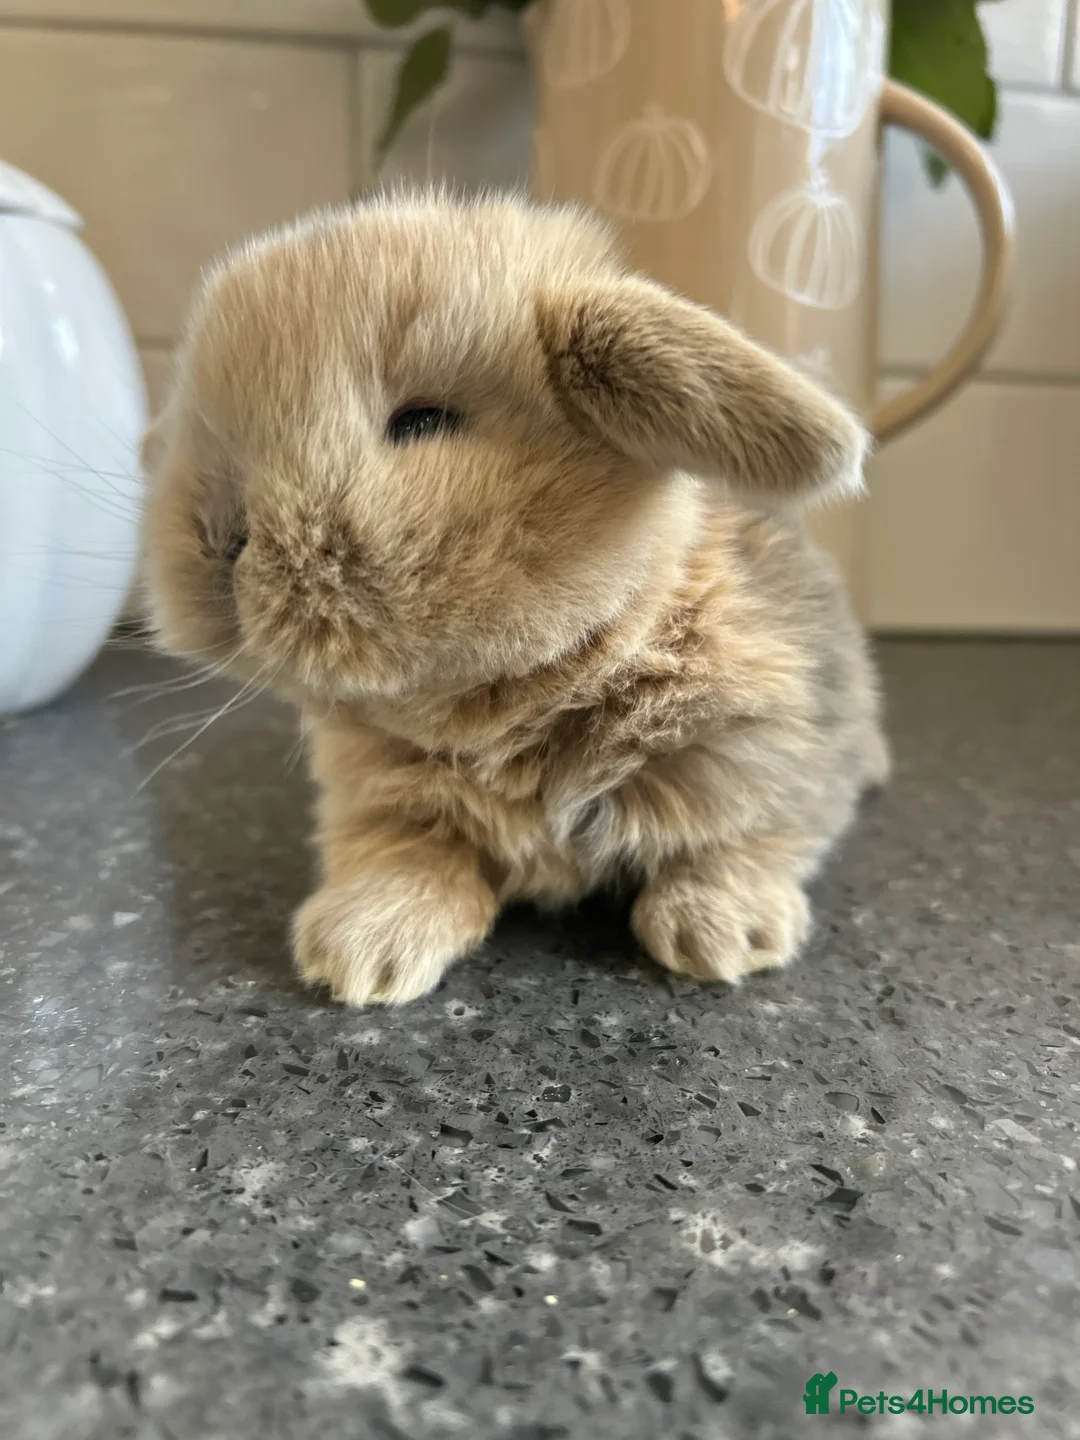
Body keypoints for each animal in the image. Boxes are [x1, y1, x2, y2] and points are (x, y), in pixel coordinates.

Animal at [142, 189, 888, 1008]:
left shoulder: (773, 748)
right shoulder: (382, 802)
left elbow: (743, 840)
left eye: (423, 421)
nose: (221, 541)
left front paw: (720, 936)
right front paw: (361, 952)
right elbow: (400, 857)